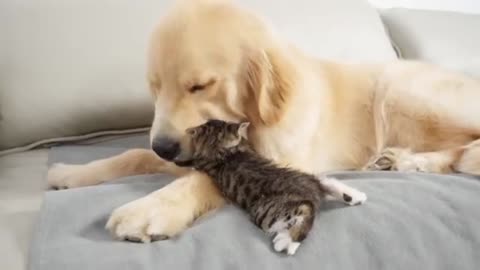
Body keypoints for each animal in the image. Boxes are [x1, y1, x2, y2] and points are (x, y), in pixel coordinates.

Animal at [174, 119, 366, 255]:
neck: (225, 151)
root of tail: (313, 190)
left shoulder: (202, 162)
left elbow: (192, 161)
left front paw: (179, 161)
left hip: (265, 211)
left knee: (306, 207)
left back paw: (288, 239)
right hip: (305, 178)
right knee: (323, 181)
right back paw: (353, 196)